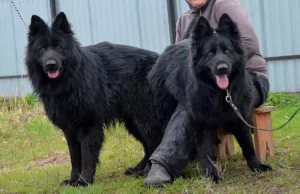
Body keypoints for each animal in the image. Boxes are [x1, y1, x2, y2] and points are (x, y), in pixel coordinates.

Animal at [24, 12, 163, 186]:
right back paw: (138, 169)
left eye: (58, 47)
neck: (70, 81)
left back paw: (147, 172)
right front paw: (72, 180)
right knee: (148, 146)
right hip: (133, 121)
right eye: (42, 49)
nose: (51, 64)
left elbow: (87, 156)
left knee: (155, 143)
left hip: (144, 119)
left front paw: (84, 181)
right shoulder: (69, 130)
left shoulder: (88, 126)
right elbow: (75, 158)